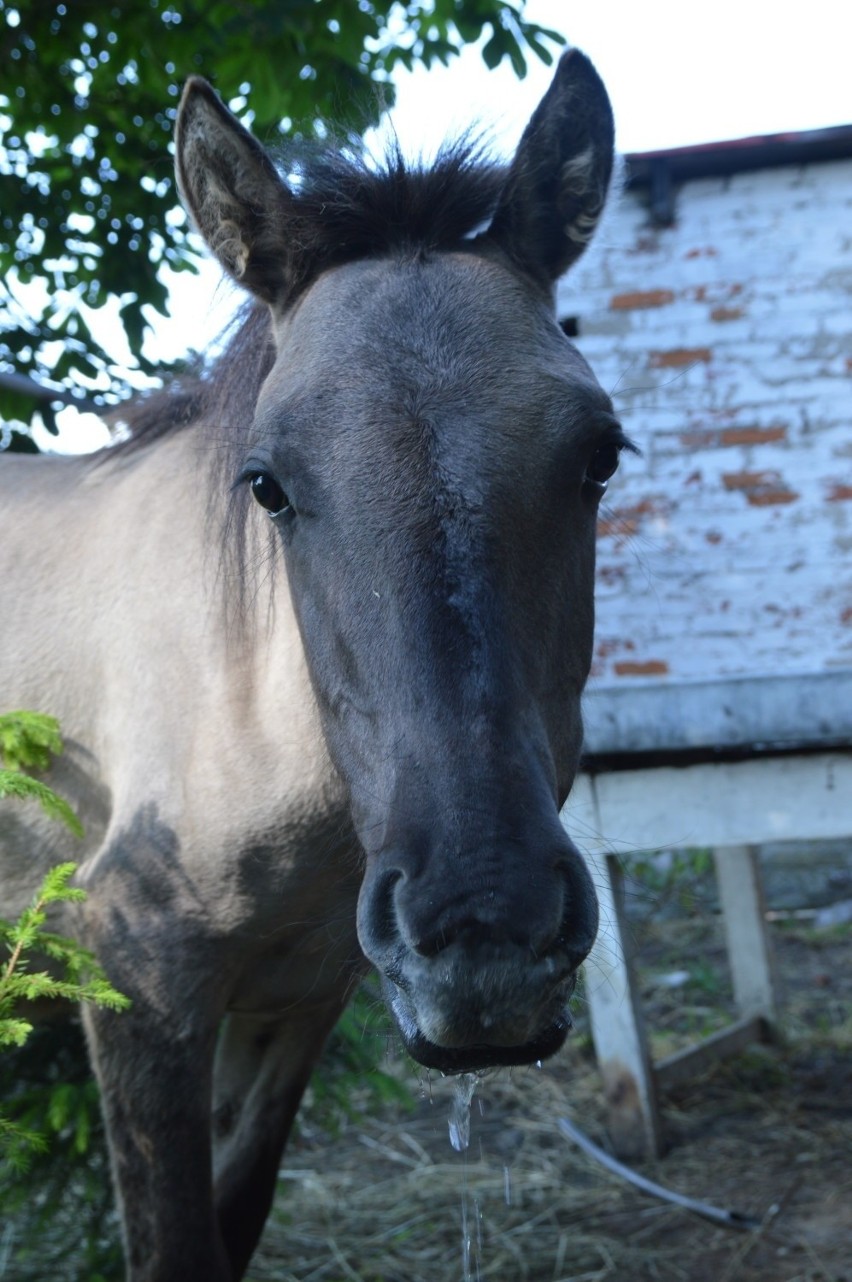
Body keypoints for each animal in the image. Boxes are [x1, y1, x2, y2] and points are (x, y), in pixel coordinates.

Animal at [0, 49, 625, 1282]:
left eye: (599, 457)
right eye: (269, 484)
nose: (486, 929)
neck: (236, 706)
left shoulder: (293, 1007)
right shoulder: (138, 994)